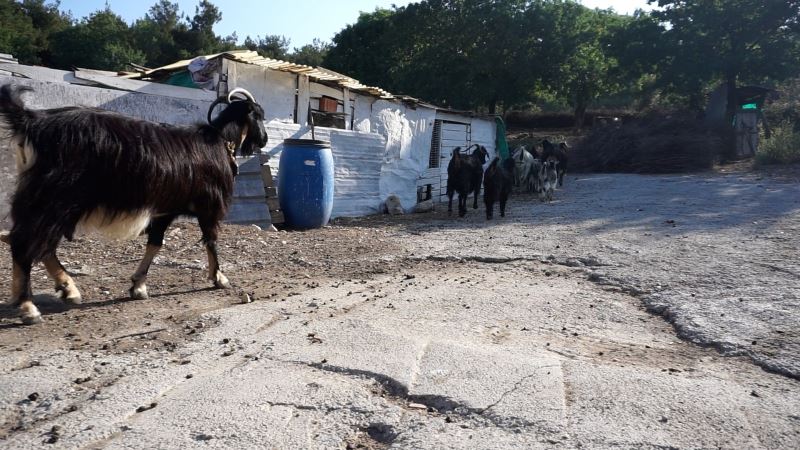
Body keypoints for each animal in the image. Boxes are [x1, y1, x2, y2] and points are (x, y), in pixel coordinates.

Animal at [0, 84, 268, 324]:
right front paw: (219, 278)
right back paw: (29, 307)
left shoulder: (165, 209)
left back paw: (67, 289)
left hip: (52, 202)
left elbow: (155, 243)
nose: (264, 139)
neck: (221, 141)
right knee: (26, 242)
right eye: (259, 115)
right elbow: (211, 241)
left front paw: (138, 286)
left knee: (39, 244)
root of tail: (34, 121)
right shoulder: (209, 207)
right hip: (55, 198)